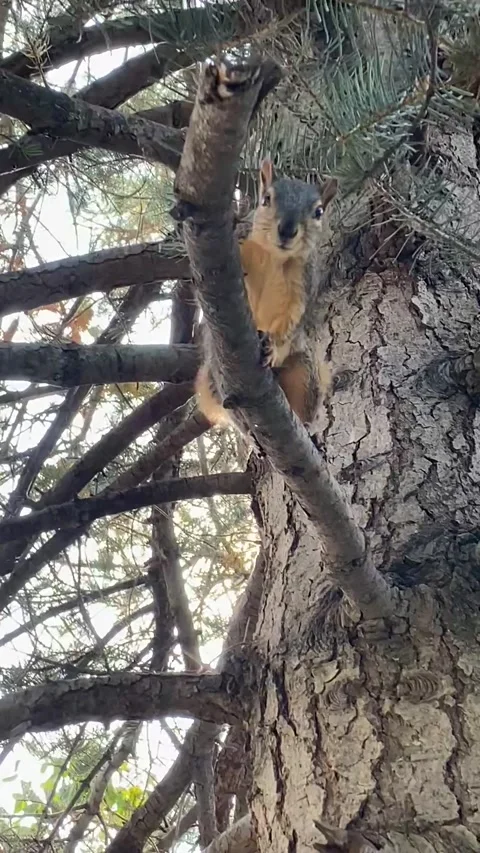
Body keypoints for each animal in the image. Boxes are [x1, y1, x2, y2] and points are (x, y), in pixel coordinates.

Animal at [195, 159, 337, 427]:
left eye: (319, 212)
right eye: (266, 199)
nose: (287, 230)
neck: (275, 256)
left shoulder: (302, 286)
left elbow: (290, 320)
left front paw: (272, 346)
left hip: (304, 369)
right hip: (218, 384)